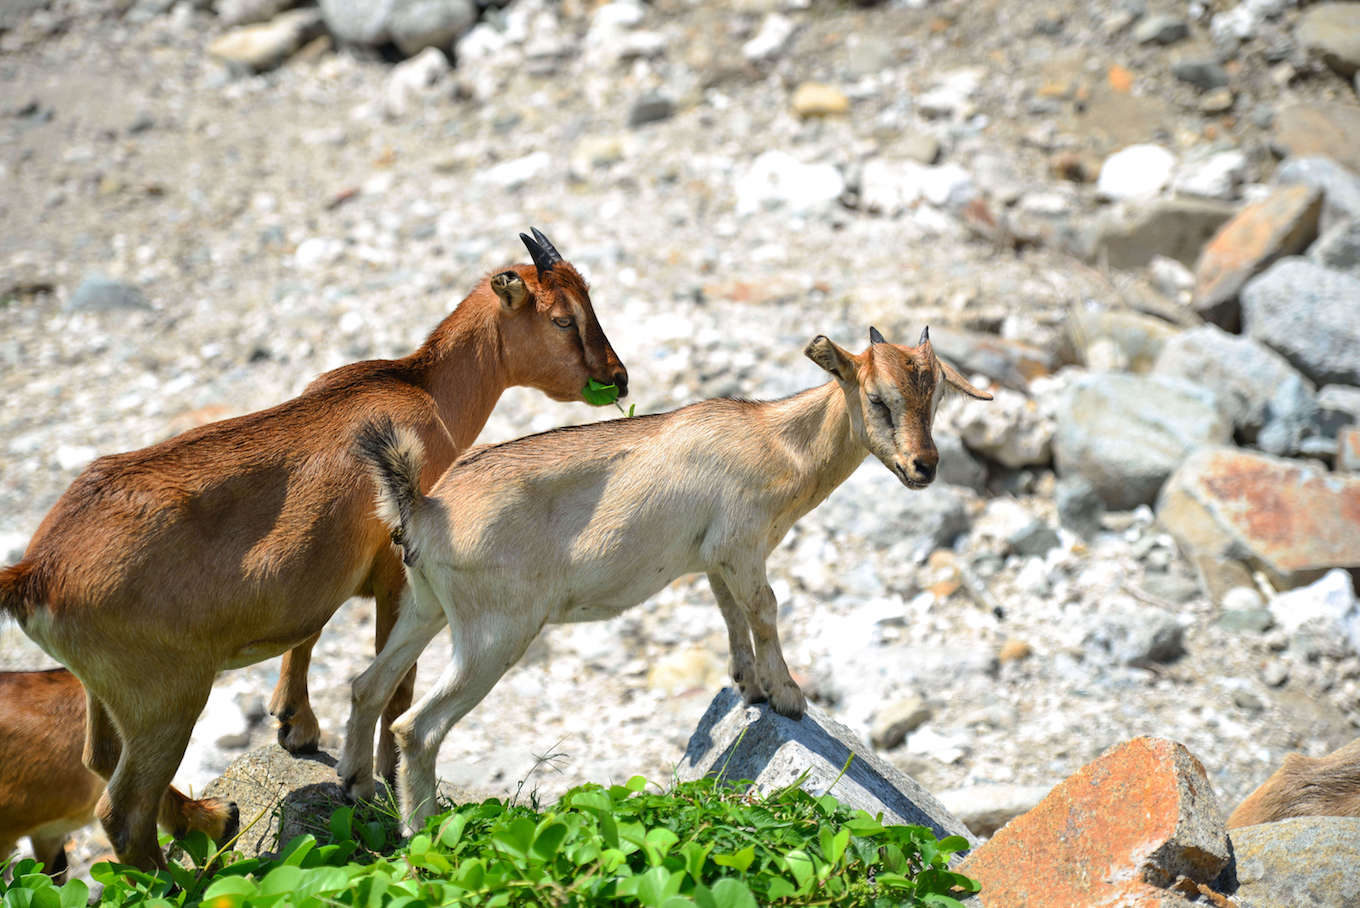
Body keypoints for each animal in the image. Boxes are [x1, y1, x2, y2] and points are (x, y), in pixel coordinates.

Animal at [331, 326, 990, 831]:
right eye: (877, 398)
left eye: (936, 398)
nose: (924, 466)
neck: (778, 442)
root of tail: (422, 509)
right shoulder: (743, 543)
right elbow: (766, 609)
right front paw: (789, 697)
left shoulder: (716, 557)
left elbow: (732, 613)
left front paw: (750, 687)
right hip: (494, 631)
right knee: (418, 727)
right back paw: (423, 833)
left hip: (426, 608)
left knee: (367, 685)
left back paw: (356, 787)